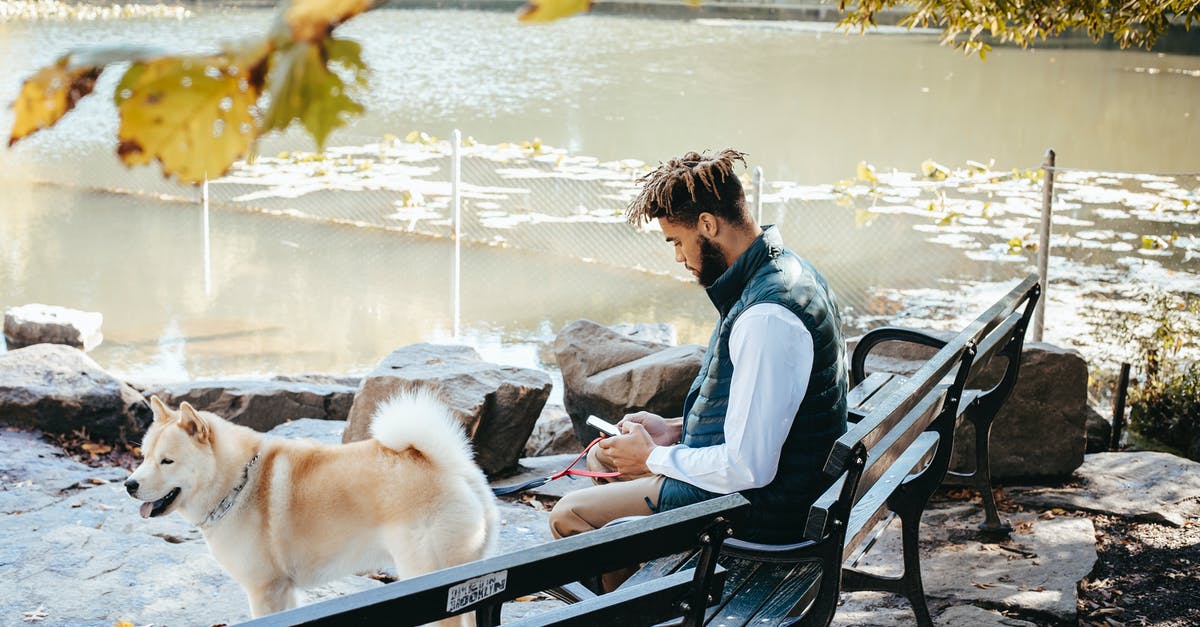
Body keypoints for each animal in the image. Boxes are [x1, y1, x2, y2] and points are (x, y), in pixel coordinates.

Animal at [123, 393, 496, 614]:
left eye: (167, 461)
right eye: (143, 457)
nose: (129, 485)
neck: (238, 483)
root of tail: (452, 468)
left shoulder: (265, 591)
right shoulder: (284, 591)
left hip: (429, 572)